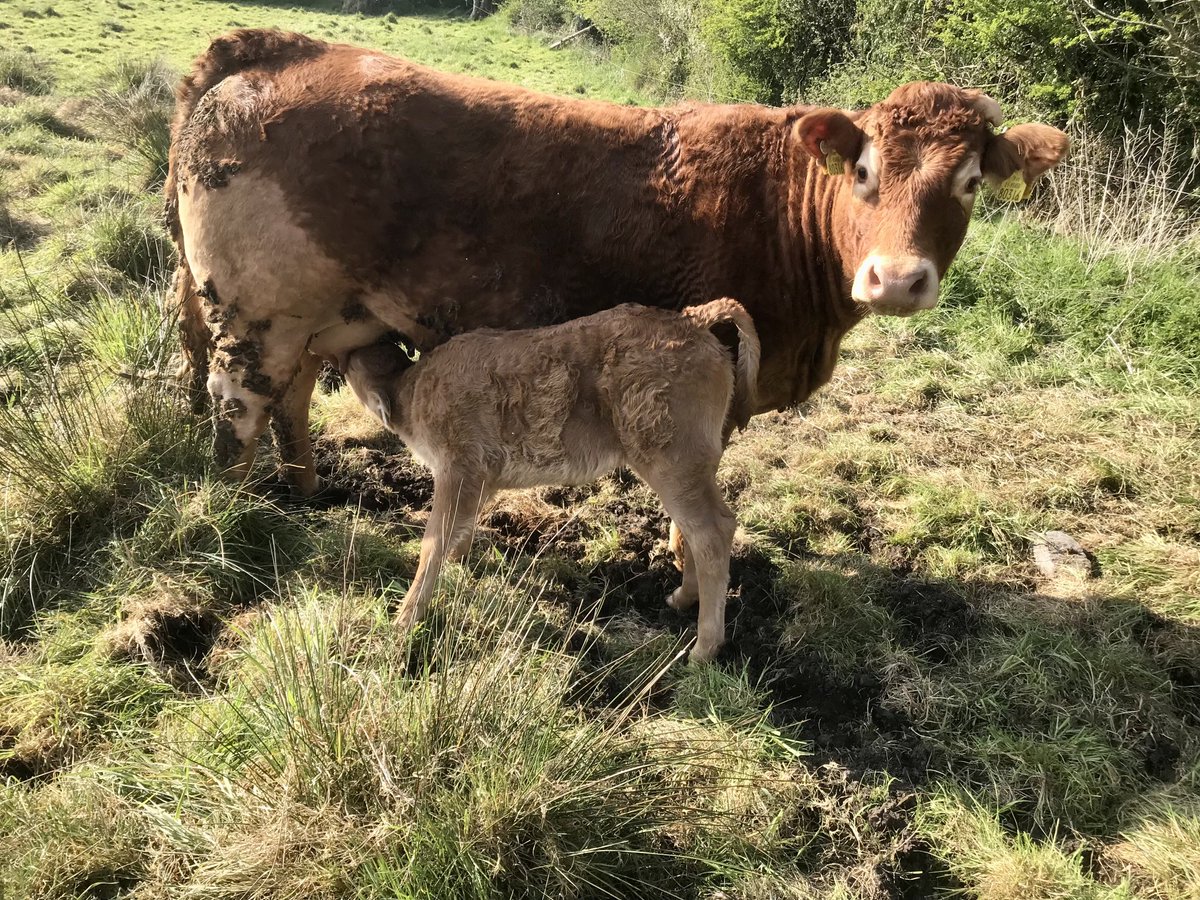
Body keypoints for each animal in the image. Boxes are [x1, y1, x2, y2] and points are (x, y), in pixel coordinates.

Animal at [164, 29, 1069, 494]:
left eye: (971, 181)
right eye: (864, 170)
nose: (898, 278)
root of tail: (275, 51)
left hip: (316, 322)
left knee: (290, 405)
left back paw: (304, 495)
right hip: (255, 319)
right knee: (240, 413)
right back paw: (247, 519)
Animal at [342, 299, 759, 662]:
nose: (343, 359)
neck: (411, 388)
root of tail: (693, 319)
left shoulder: (457, 470)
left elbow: (433, 542)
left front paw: (405, 618)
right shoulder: (481, 480)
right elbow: (461, 531)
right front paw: (460, 564)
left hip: (671, 463)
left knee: (711, 532)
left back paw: (703, 649)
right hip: (689, 468)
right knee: (699, 527)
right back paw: (683, 598)